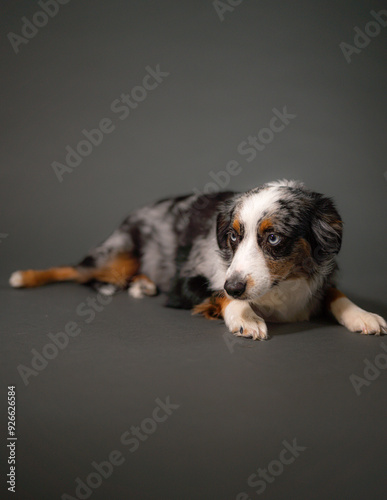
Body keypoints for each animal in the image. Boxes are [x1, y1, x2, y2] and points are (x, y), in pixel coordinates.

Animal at [8, 180, 384, 340]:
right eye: (232, 236)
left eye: (274, 238)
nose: (236, 286)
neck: (280, 288)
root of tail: (134, 211)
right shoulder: (187, 283)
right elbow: (218, 293)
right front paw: (244, 316)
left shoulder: (318, 281)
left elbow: (335, 293)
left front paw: (361, 315)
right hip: (116, 258)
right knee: (75, 269)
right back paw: (25, 277)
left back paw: (143, 285)